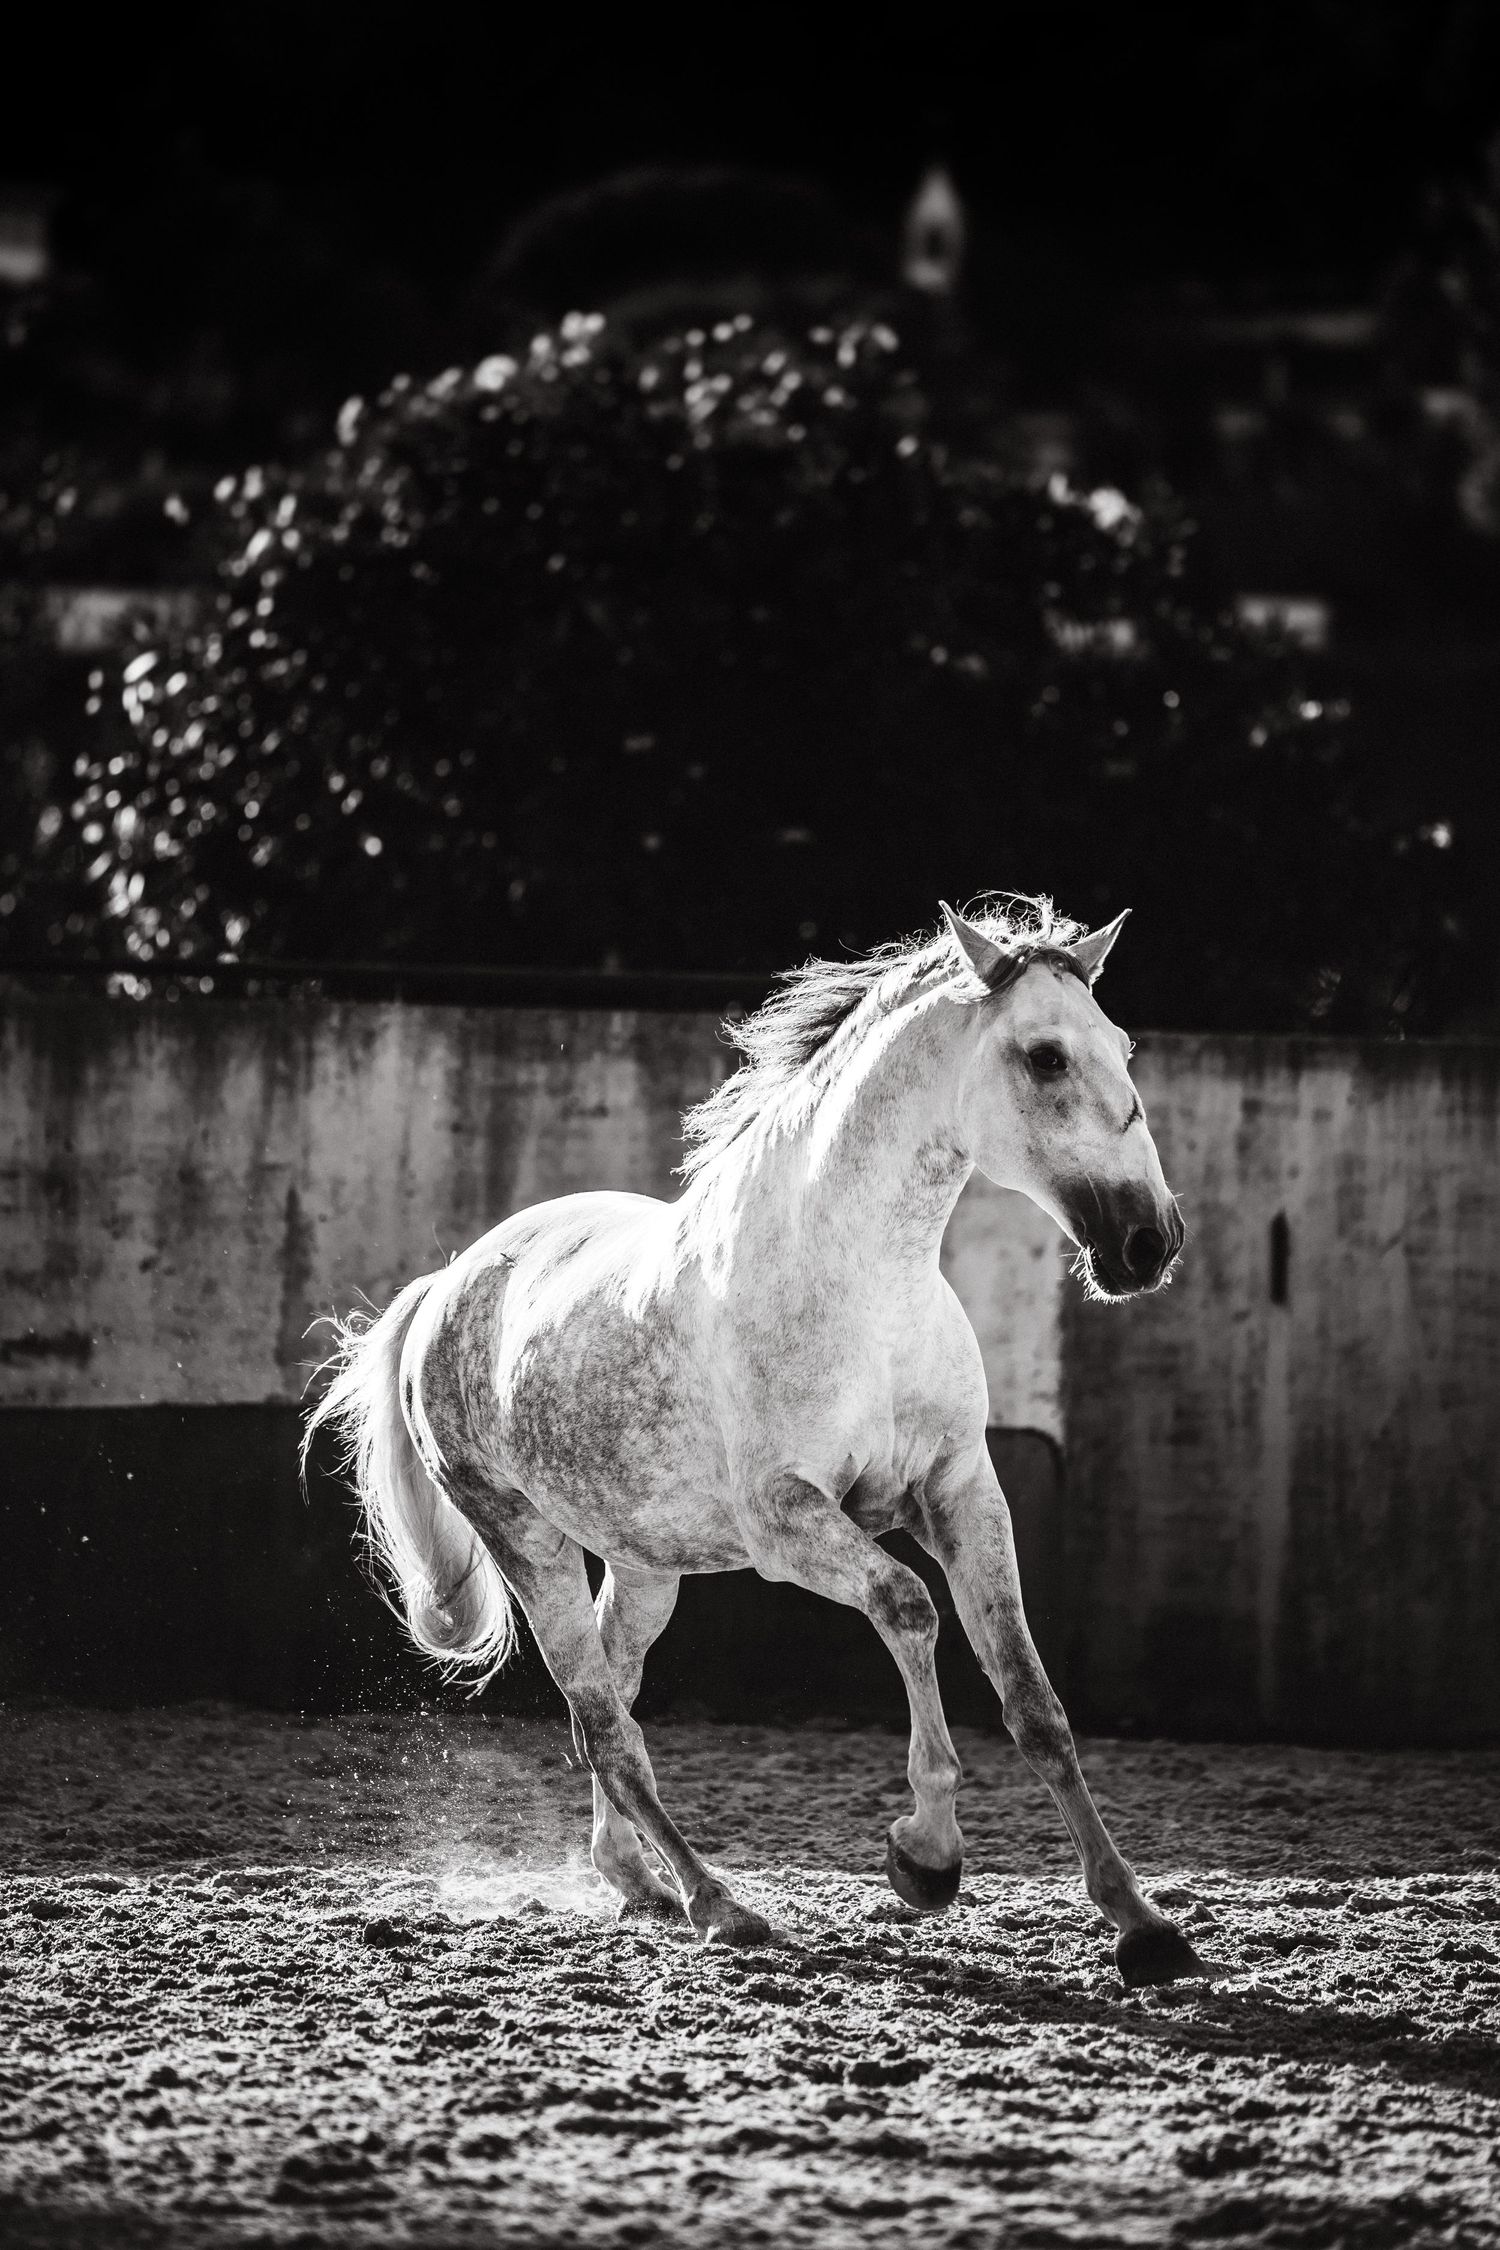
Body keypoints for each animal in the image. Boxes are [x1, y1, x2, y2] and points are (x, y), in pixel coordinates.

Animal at [305, 895, 1213, 1989]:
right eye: (1044, 1057)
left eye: (1122, 1047)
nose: (1149, 1244)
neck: (867, 1288)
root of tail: (447, 1284)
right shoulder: (787, 1522)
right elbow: (909, 1610)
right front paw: (926, 1859)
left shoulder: (962, 1495)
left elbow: (1033, 1701)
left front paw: (1142, 1925)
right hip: (526, 1541)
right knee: (605, 1723)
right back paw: (719, 1904)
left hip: (645, 1565)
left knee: (609, 1703)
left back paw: (637, 1881)